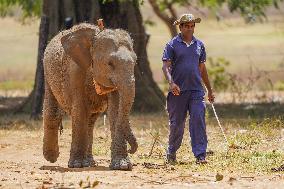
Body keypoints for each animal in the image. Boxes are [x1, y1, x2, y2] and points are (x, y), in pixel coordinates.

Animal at [42, 22, 139, 171]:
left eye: (135, 62)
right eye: (110, 63)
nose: (131, 149)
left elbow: (115, 111)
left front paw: (122, 166)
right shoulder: (74, 71)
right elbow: (79, 109)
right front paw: (77, 165)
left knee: (90, 121)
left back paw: (89, 162)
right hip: (47, 73)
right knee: (52, 112)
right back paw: (51, 158)